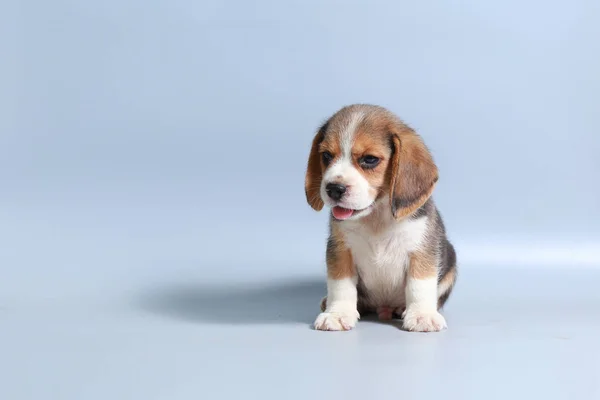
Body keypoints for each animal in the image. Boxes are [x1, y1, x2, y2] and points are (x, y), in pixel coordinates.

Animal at [304, 104, 460, 332]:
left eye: (370, 160)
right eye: (326, 156)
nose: (333, 188)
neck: (375, 216)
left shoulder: (422, 249)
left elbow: (419, 284)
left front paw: (422, 315)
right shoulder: (340, 250)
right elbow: (340, 284)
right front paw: (338, 313)